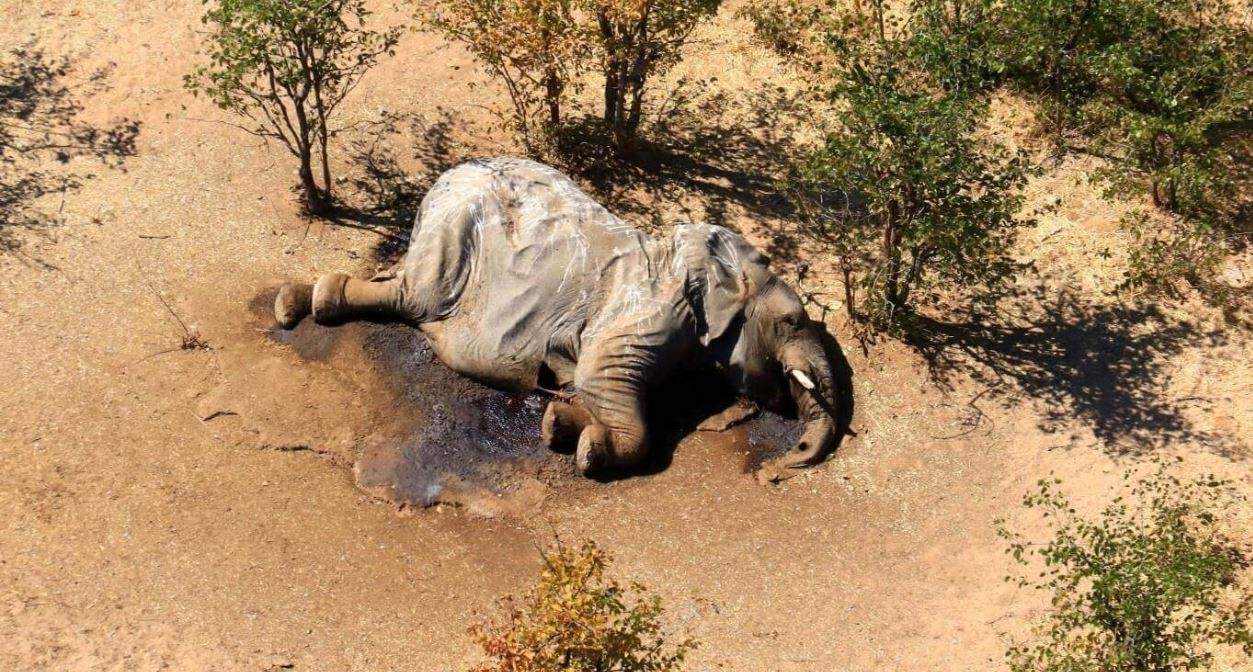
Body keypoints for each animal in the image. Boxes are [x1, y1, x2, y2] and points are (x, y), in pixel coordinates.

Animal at [274, 157, 849, 480]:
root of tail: (444, 178)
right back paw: (305, 303)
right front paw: (589, 449)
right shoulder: (649, 311)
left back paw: (297, 301)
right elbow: (603, 378)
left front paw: (559, 424)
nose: (780, 469)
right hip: (453, 234)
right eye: (792, 321)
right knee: (414, 297)